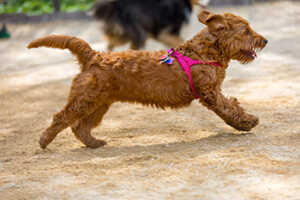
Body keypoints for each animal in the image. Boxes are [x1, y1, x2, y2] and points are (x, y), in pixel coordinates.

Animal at [27, 10, 268, 149]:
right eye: (246, 31)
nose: (265, 40)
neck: (203, 52)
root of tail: (94, 56)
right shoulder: (210, 92)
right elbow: (230, 108)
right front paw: (247, 122)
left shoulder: (212, 90)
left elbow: (232, 105)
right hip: (85, 99)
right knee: (61, 117)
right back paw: (44, 141)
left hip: (99, 103)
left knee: (80, 126)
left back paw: (94, 143)